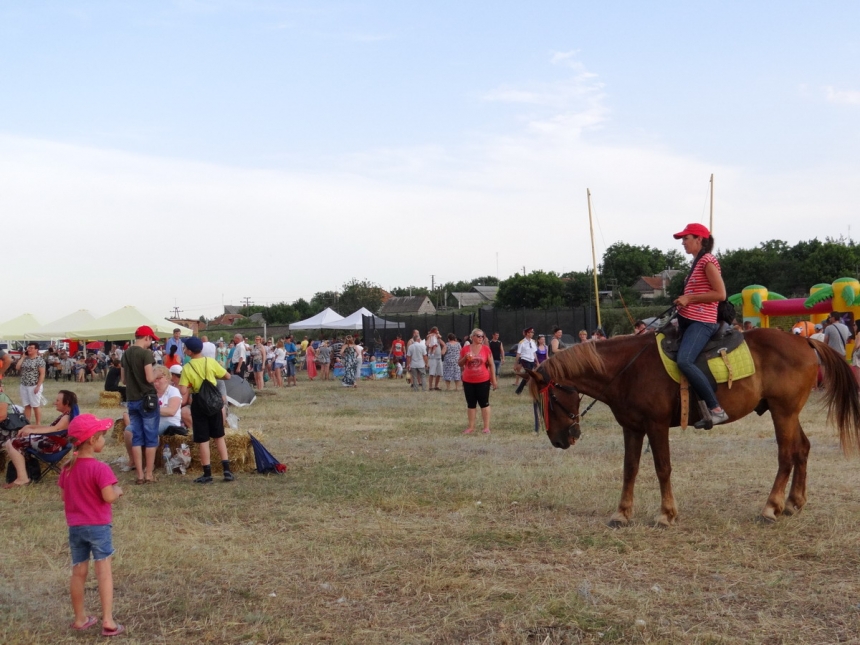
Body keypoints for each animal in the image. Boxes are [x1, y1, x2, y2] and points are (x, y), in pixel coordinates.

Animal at [524, 330, 860, 524]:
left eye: (549, 399)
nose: (558, 440)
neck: (627, 369)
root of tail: (804, 339)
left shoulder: (656, 425)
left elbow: (662, 467)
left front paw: (666, 513)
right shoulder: (632, 427)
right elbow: (630, 468)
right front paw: (622, 513)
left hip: (783, 411)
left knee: (787, 455)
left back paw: (771, 506)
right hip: (789, 412)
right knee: (802, 449)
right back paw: (793, 502)